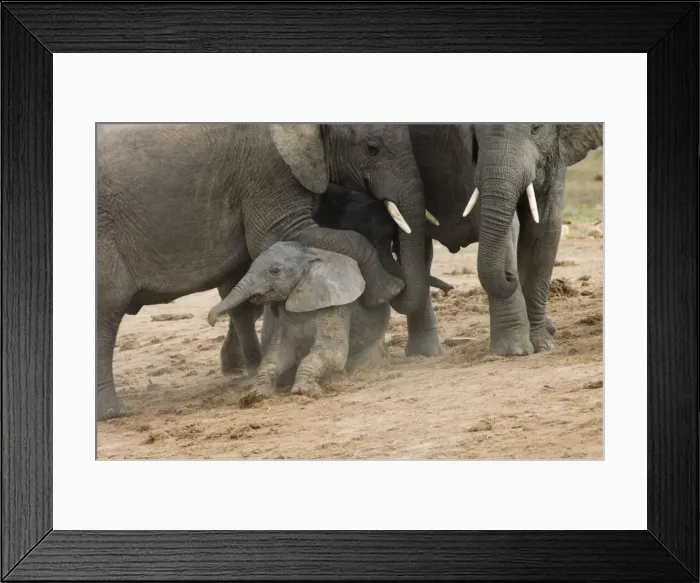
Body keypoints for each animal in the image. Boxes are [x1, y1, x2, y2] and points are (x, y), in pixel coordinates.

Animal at [207, 241, 392, 405]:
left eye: (275, 271)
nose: (211, 321)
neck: (311, 256)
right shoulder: (284, 319)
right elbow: (278, 355)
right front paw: (256, 395)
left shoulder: (336, 307)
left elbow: (332, 353)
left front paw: (303, 391)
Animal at [408, 123, 602, 355]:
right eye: (474, 132)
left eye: (536, 129)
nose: (510, 275)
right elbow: (509, 229)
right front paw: (515, 351)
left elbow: (545, 228)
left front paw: (542, 345)